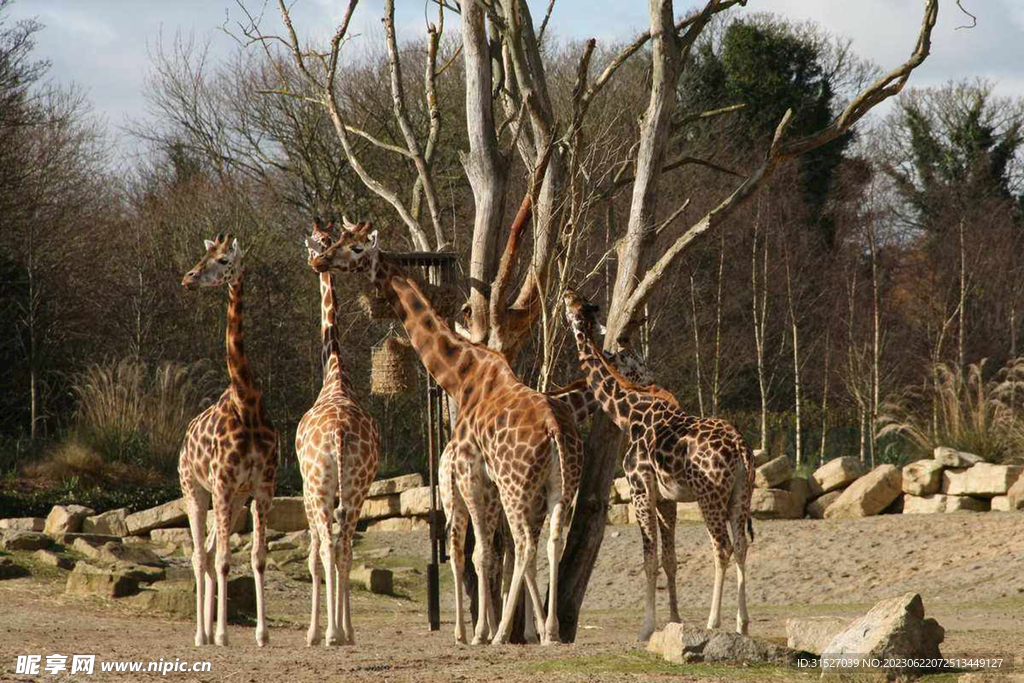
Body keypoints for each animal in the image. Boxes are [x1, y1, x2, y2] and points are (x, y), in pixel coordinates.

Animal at [307, 220, 585, 647]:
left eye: (355, 248)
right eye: (336, 239)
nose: (320, 260)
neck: (461, 378)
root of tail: (556, 429)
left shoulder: (472, 470)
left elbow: (482, 552)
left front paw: (481, 632)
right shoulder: (485, 478)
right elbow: (488, 551)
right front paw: (513, 628)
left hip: (516, 482)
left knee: (524, 543)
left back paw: (503, 633)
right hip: (563, 483)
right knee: (554, 540)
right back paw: (550, 629)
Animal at [561, 290, 753, 643]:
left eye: (575, 306)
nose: (565, 292)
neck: (629, 413)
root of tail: (741, 450)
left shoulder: (640, 488)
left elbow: (649, 559)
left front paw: (646, 627)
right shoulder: (666, 498)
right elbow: (669, 559)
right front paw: (674, 620)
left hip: (710, 495)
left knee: (722, 547)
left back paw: (713, 622)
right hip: (741, 494)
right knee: (742, 546)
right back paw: (741, 623)